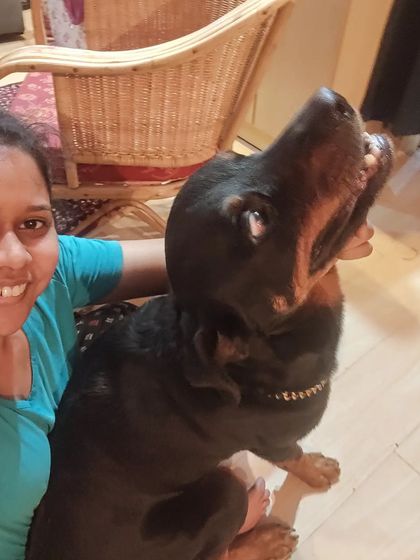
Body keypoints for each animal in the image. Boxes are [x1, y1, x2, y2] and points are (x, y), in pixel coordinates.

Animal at [26, 88, 393, 560]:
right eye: (256, 221)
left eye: (236, 157)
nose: (330, 98)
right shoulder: (273, 440)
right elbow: (294, 454)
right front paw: (315, 469)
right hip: (222, 493)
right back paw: (266, 540)